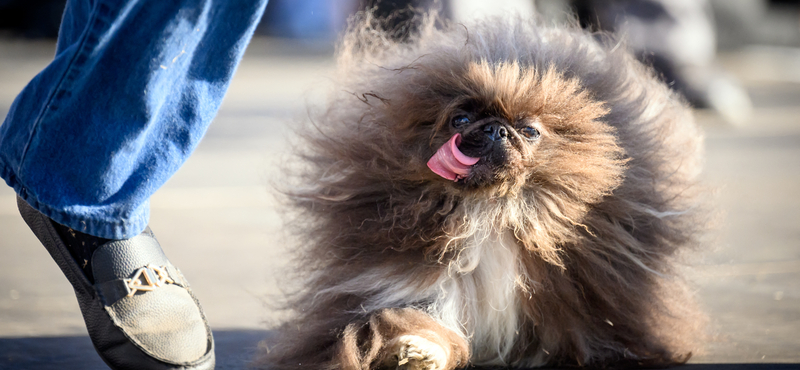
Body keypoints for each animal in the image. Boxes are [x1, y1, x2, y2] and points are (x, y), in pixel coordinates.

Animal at [258, 11, 708, 370]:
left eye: (530, 130)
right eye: (460, 119)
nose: (496, 130)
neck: (493, 212)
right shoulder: (412, 283)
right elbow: (420, 324)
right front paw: (415, 353)